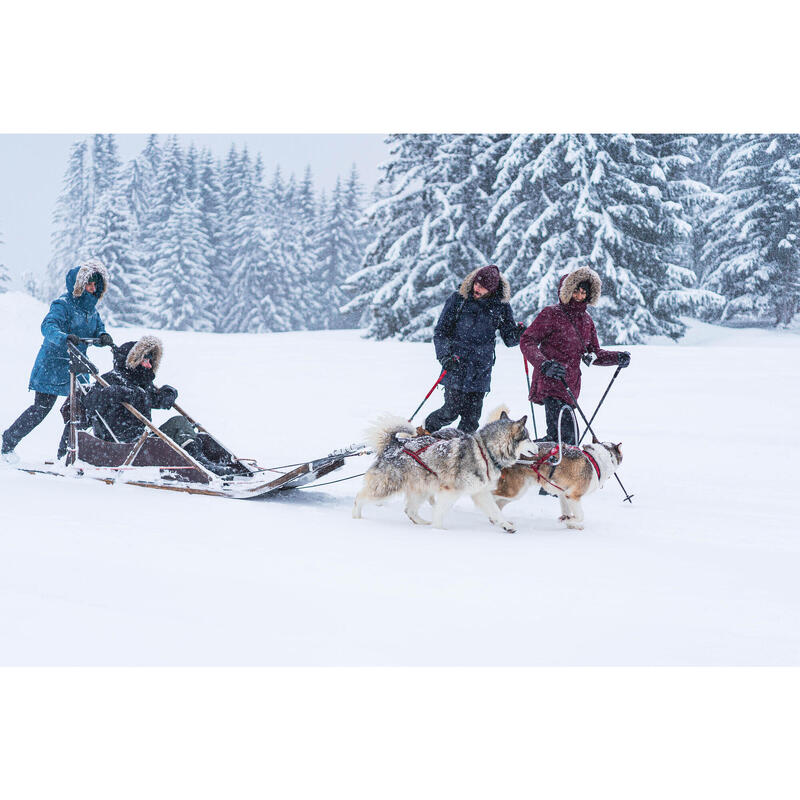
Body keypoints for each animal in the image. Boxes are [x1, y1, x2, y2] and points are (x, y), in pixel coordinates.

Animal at [354, 410, 536, 536]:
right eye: (528, 438)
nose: (537, 447)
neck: (487, 451)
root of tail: (394, 444)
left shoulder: (480, 492)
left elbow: (495, 511)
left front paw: (506, 525)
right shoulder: (450, 491)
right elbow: (440, 512)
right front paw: (439, 531)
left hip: (421, 489)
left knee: (409, 511)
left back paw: (422, 522)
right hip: (387, 487)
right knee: (360, 497)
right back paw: (356, 518)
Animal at [494, 438, 624, 532]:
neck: (595, 460)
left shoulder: (564, 494)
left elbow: (567, 512)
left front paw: (570, 523)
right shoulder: (573, 495)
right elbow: (580, 515)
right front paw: (568, 520)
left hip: (516, 492)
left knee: (498, 504)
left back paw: (498, 521)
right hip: (514, 490)